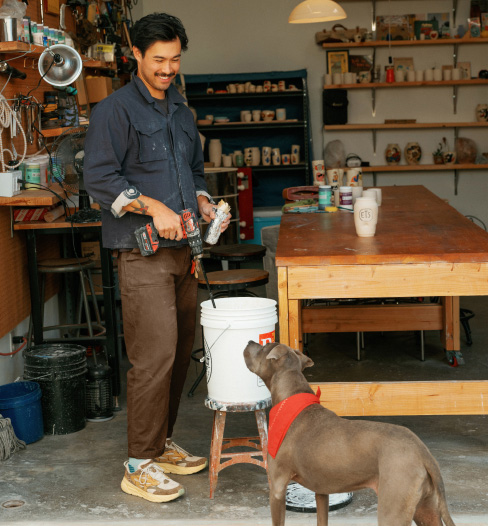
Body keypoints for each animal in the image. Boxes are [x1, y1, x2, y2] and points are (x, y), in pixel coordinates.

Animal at [244, 342, 458, 526]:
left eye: (263, 347)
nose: (249, 341)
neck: (291, 396)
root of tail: (422, 451)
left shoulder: (277, 488)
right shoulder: (322, 492)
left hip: (393, 507)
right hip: (425, 509)